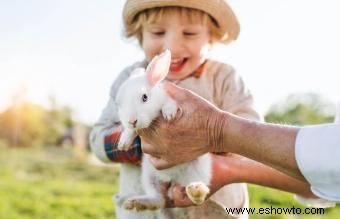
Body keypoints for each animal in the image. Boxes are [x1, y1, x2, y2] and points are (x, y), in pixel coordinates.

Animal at [117, 49, 212, 217]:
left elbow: (169, 104)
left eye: (145, 97)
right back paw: (136, 203)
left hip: (197, 170)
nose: (132, 120)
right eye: (119, 104)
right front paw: (123, 143)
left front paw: (169, 114)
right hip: (149, 177)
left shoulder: (169, 99)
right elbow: (130, 132)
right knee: (158, 199)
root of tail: (171, 179)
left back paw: (196, 190)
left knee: (198, 198)